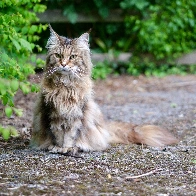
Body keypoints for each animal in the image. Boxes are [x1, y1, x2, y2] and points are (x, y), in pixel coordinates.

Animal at [30, 25, 178, 155]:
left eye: (72, 57)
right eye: (58, 56)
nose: (64, 64)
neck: (65, 87)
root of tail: (106, 128)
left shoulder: (77, 114)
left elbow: (70, 136)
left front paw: (67, 148)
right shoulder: (52, 113)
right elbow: (57, 135)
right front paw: (57, 147)